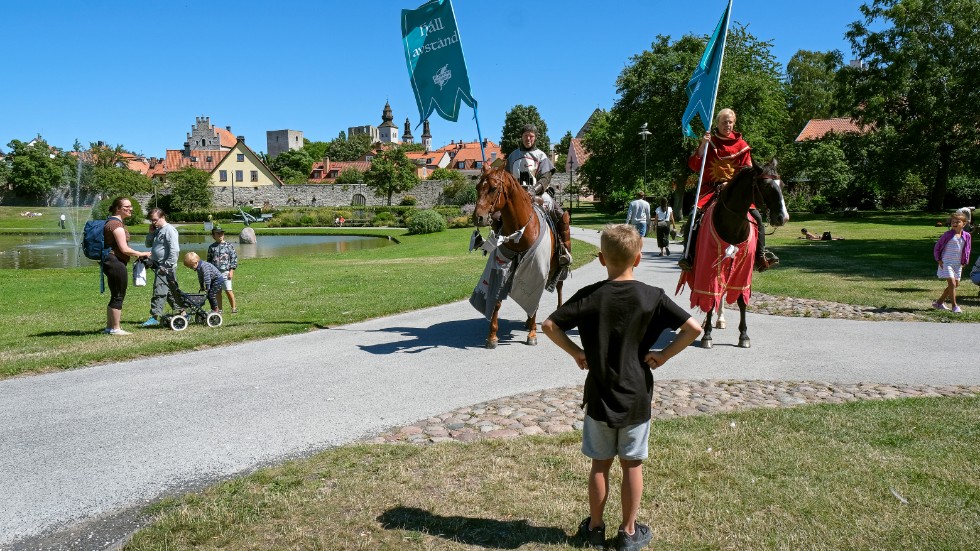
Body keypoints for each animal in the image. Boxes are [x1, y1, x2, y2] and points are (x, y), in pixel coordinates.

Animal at [470, 166, 564, 352]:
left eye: (493, 188)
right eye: (477, 187)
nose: (478, 217)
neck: (521, 229)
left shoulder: (537, 270)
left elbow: (535, 298)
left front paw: (533, 334)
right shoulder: (502, 265)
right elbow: (497, 299)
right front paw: (492, 337)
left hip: (557, 267)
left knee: (558, 287)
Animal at [680, 160, 788, 350]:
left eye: (781, 185)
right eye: (766, 186)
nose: (783, 218)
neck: (733, 225)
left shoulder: (744, 272)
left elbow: (741, 300)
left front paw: (743, 335)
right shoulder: (708, 267)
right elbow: (710, 295)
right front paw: (707, 335)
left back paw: (719, 320)